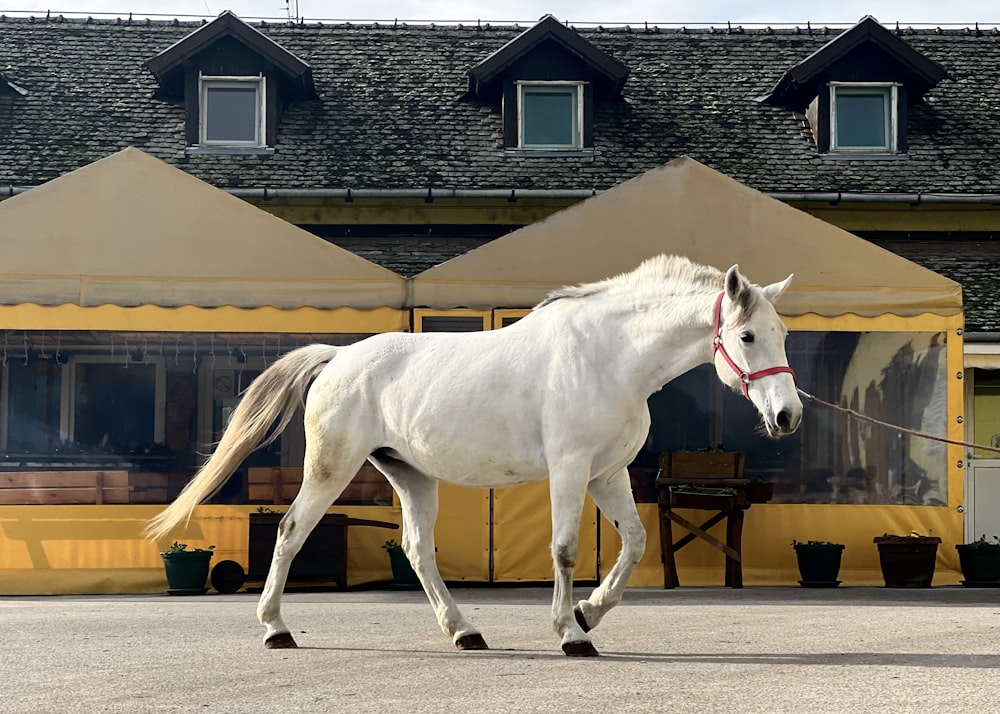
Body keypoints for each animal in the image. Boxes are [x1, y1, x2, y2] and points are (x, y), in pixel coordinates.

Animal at [148, 254, 800, 656]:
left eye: (785, 335)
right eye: (747, 336)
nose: (788, 416)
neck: (611, 355)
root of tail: (338, 357)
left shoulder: (607, 475)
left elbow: (636, 544)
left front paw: (589, 612)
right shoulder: (569, 471)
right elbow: (565, 550)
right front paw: (571, 634)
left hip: (412, 477)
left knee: (416, 550)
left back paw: (464, 631)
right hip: (331, 469)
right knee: (289, 532)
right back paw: (276, 629)